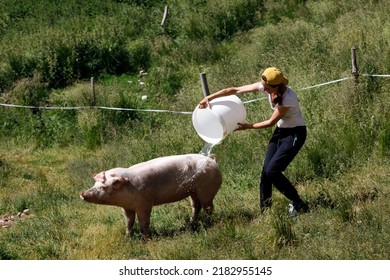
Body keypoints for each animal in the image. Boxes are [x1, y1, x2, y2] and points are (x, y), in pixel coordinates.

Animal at [78, 153, 222, 238]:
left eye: (103, 187)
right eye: (95, 184)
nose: (82, 193)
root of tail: (212, 160)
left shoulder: (145, 203)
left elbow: (144, 222)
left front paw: (145, 239)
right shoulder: (126, 207)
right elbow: (129, 222)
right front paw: (127, 237)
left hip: (206, 190)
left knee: (208, 207)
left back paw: (209, 223)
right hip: (192, 191)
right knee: (196, 206)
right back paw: (191, 223)